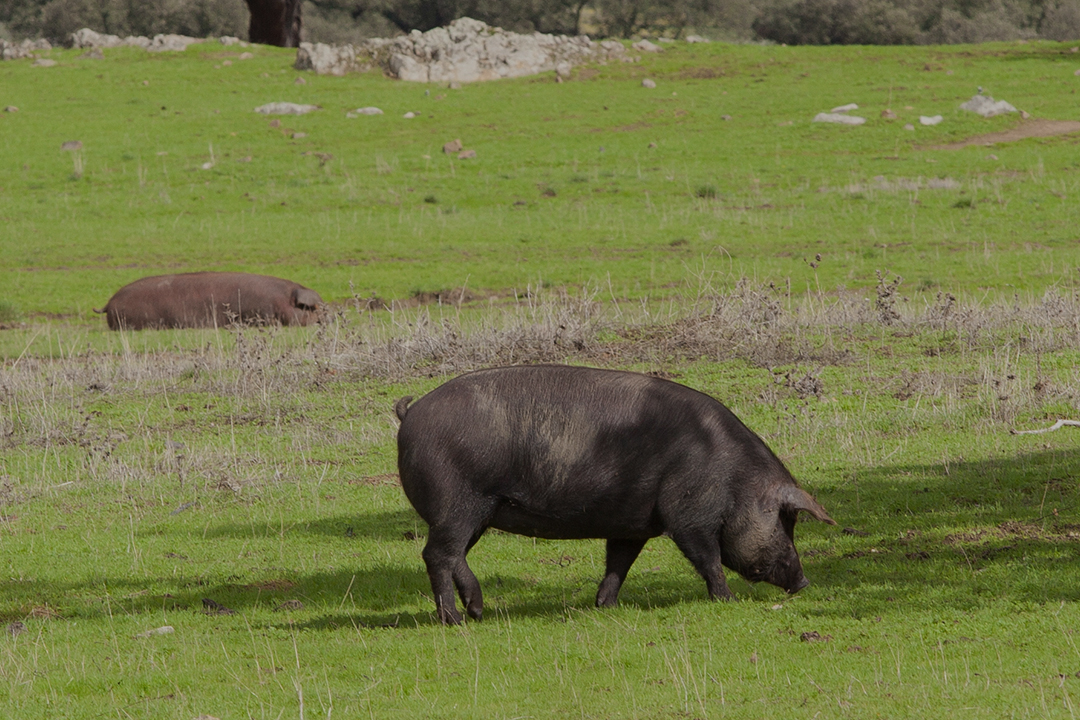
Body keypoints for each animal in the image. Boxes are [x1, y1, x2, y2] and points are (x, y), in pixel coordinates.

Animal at [397, 367, 833, 626]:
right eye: (786, 520)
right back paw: (457, 618)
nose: (804, 582)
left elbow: (619, 562)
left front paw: (605, 605)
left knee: (452, 554)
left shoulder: (632, 523)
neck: (735, 480)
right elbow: (707, 558)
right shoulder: (687, 514)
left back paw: (475, 611)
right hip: (458, 502)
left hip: (473, 513)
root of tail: (411, 413)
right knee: (437, 554)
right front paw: (726, 600)